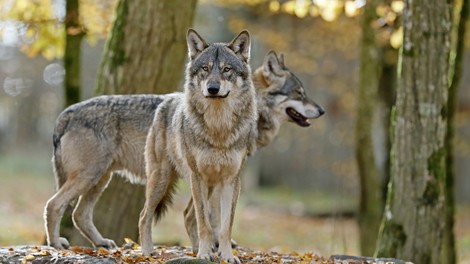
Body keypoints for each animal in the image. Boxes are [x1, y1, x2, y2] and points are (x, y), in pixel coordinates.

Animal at [139, 28, 258, 262]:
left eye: (227, 70)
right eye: (205, 69)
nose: (212, 88)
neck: (218, 127)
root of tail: (167, 99)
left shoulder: (231, 180)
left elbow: (224, 226)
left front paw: (226, 255)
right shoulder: (198, 176)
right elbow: (205, 223)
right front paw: (204, 254)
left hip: (209, 187)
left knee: (187, 215)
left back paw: (199, 250)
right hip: (162, 180)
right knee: (144, 215)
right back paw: (148, 251)